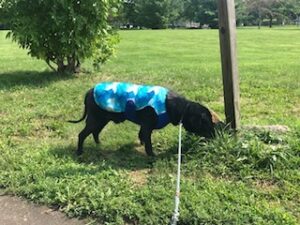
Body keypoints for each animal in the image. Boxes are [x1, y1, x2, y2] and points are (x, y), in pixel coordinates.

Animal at [69, 82, 221, 156]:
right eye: (207, 122)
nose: (216, 136)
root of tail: (89, 91)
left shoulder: (144, 126)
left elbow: (141, 135)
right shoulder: (147, 126)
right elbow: (148, 143)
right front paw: (152, 155)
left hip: (102, 120)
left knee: (95, 132)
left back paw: (99, 145)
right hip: (95, 119)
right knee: (82, 134)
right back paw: (79, 152)